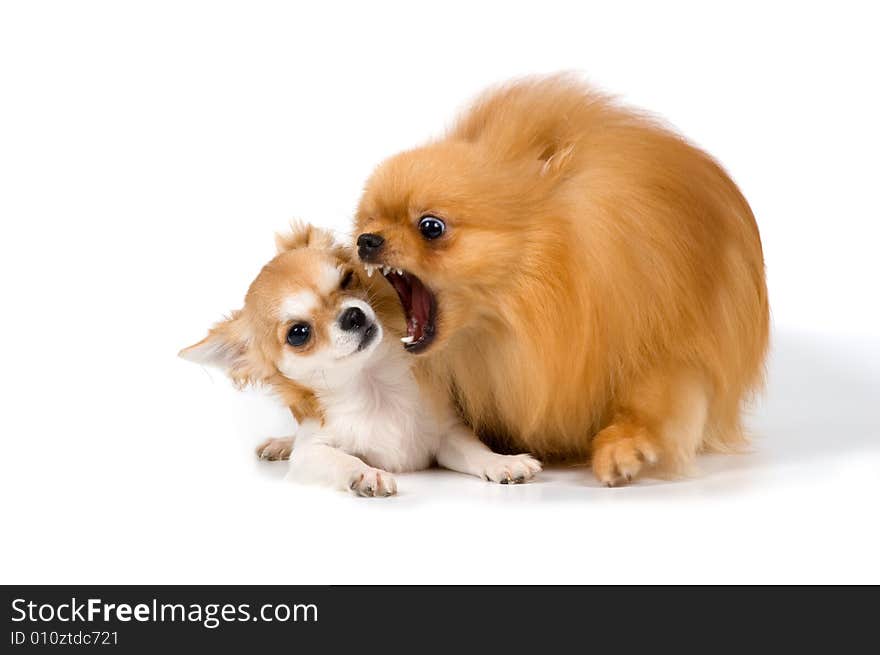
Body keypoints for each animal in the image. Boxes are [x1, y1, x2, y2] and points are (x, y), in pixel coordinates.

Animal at [179, 224, 540, 498]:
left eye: (347, 280)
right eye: (298, 333)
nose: (353, 315)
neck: (372, 383)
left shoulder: (446, 436)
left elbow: (474, 451)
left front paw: (502, 462)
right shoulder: (310, 454)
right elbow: (339, 459)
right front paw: (367, 475)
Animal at [354, 77, 768, 486]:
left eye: (431, 227)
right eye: (369, 220)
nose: (366, 240)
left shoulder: (662, 336)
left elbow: (654, 395)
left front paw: (623, 445)